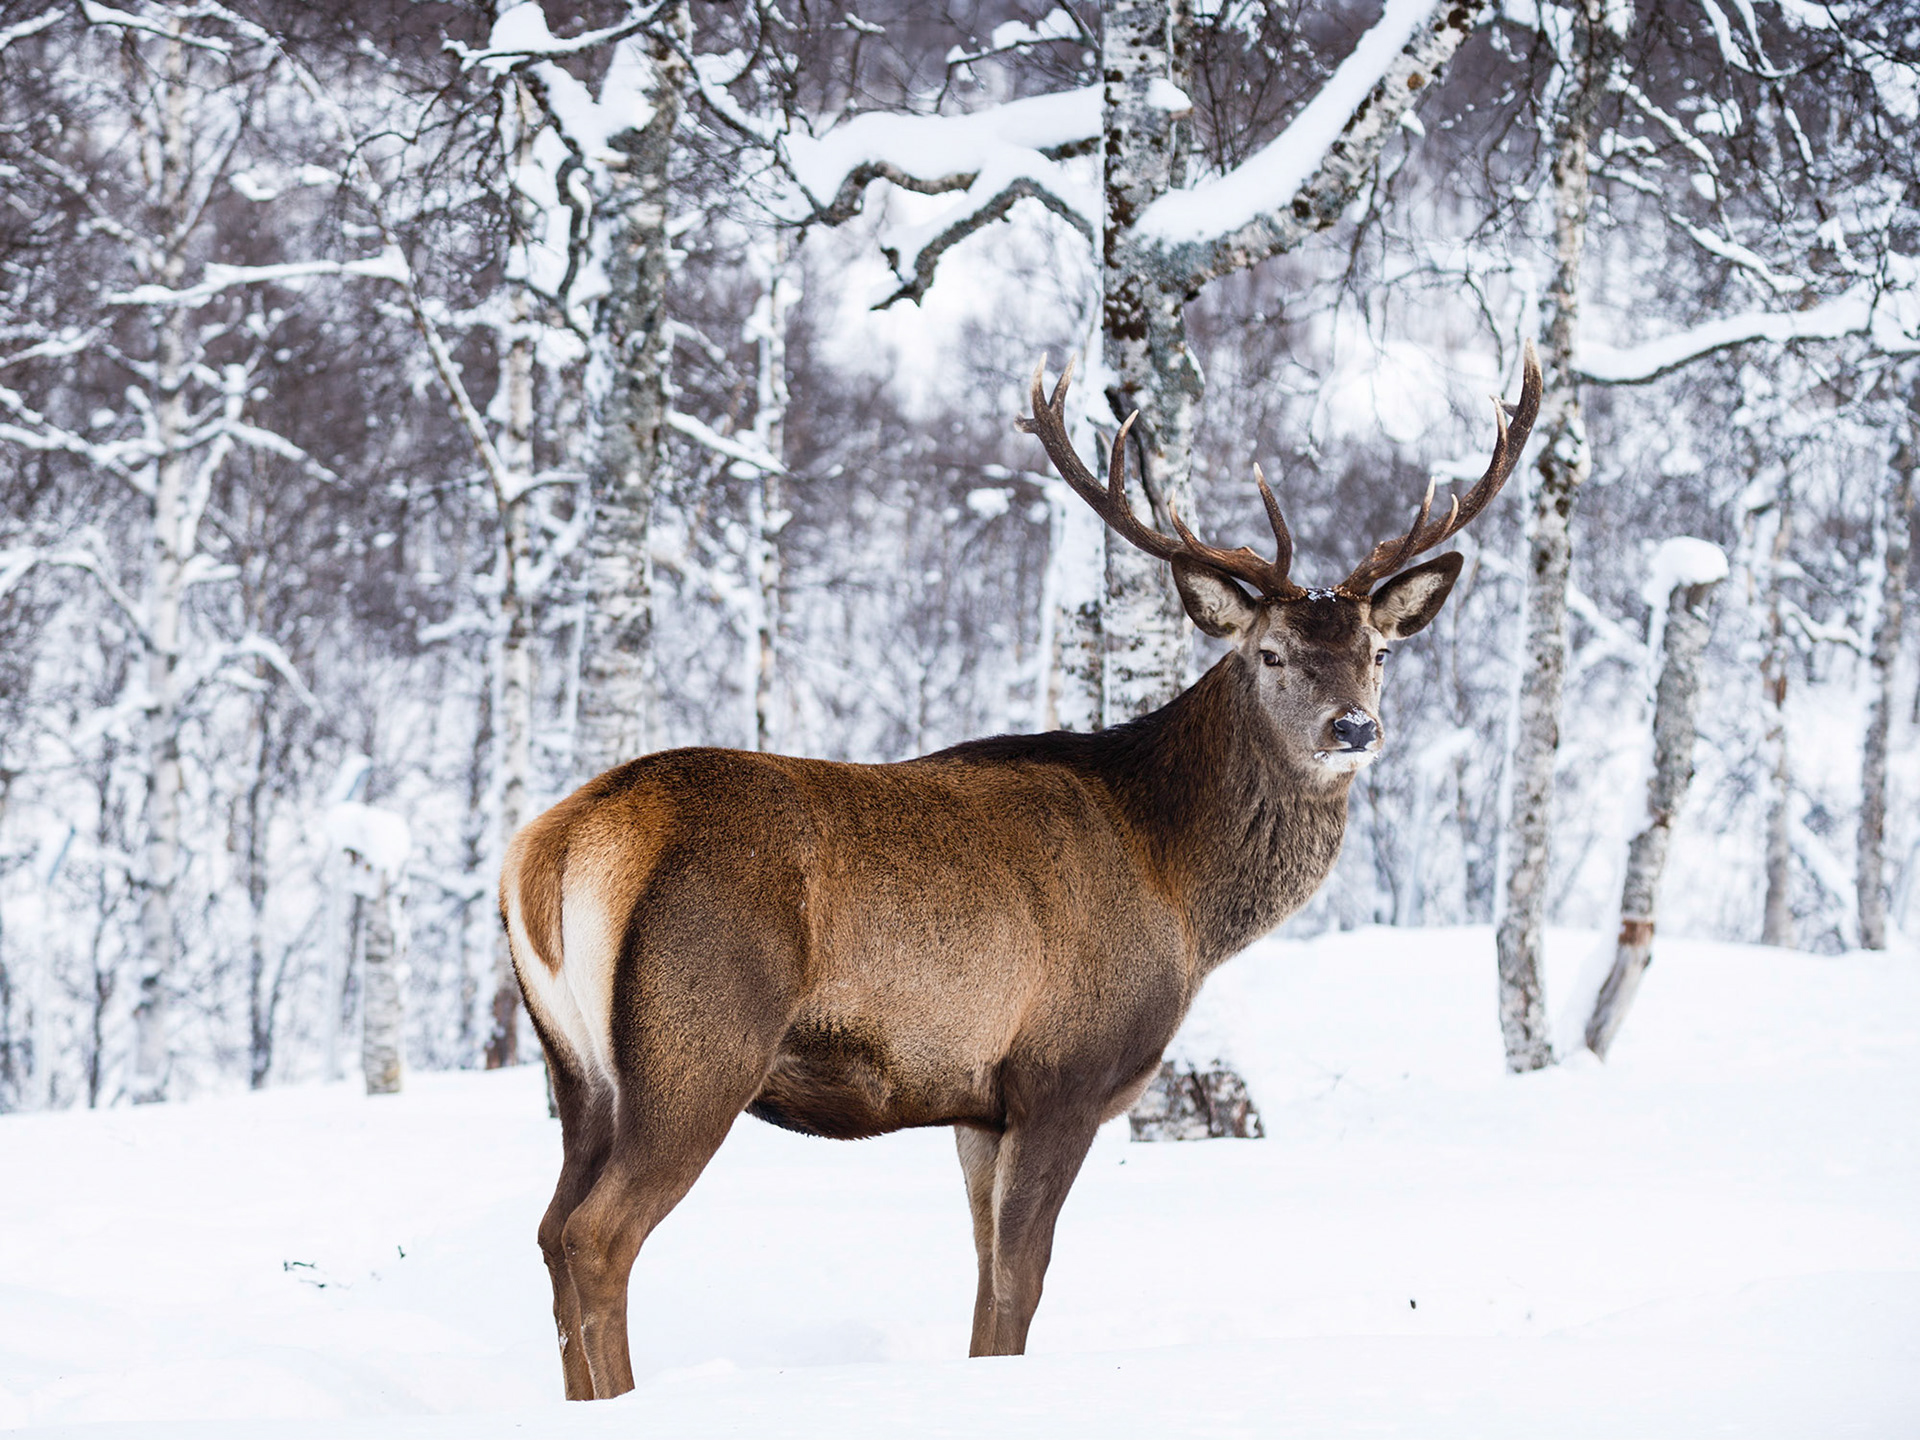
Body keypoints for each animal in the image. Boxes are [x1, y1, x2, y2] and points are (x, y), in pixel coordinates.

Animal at [500, 343, 1542, 1400]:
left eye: (1377, 652)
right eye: (1273, 654)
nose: (1354, 728)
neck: (1186, 897)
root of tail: (554, 845)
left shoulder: (977, 1105)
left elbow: (981, 1285)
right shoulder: (1064, 1070)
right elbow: (1020, 1282)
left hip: (577, 1069)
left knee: (547, 1230)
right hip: (699, 1039)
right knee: (597, 1236)